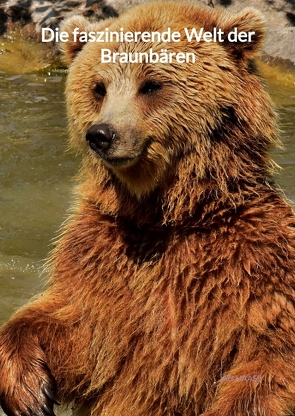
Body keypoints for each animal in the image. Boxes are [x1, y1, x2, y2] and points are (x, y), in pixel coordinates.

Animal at [0, 3, 295, 416]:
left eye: (151, 84)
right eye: (99, 87)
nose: (101, 134)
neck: (166, 216)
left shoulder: (254, 264)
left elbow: (270, 355)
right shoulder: (102, 257)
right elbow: (76, 326)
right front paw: (28, 390)